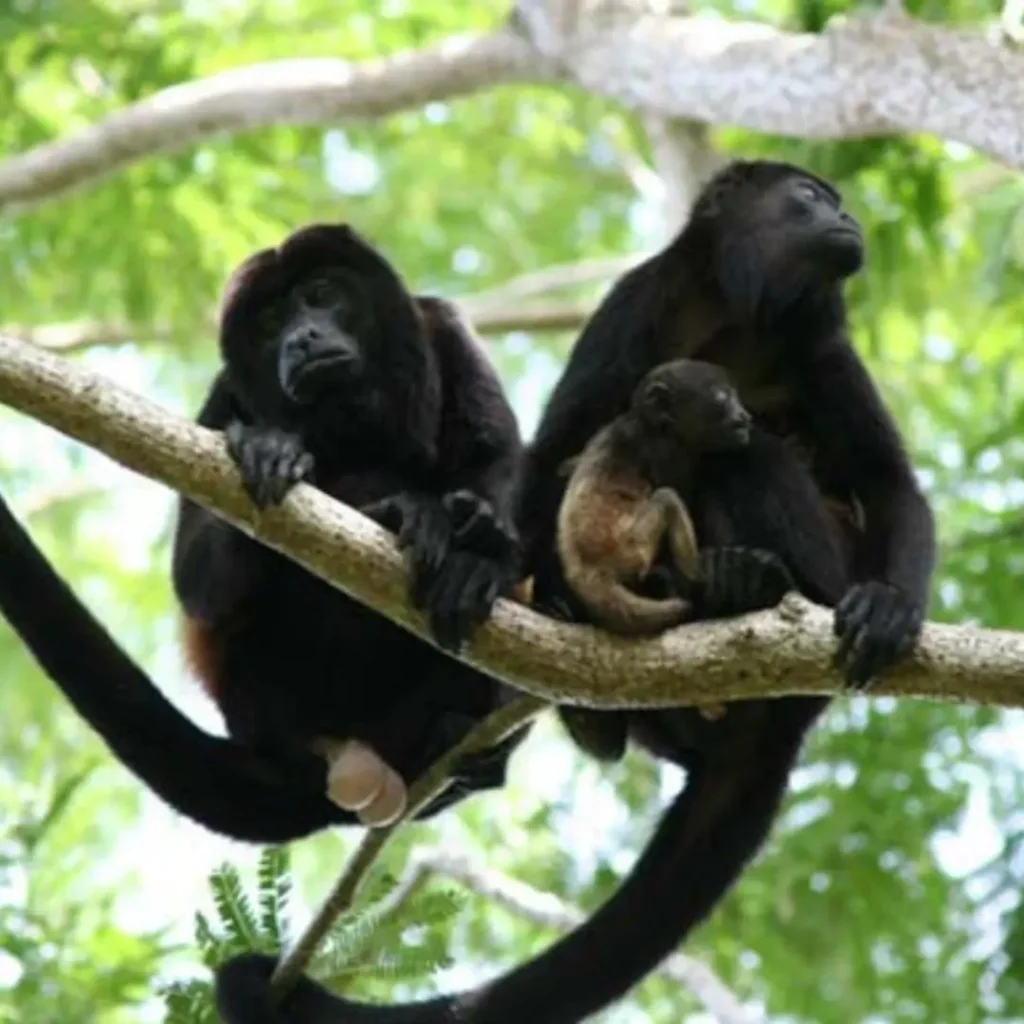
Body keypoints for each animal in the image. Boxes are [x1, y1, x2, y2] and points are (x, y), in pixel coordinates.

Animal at [0, 228, 528, 843]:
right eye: (272, 324)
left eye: (321, 295)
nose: (300, 339)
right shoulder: (221, 401)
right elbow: (196, 582)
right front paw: (269, 449)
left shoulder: (448, 331)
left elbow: (502, 478)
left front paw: (478, 554)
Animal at [216, 163, 937, 1019]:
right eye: (809, 197)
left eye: (831, 199)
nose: (846, 216)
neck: (738, 309)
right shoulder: (638, 302)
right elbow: (556, 450)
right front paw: (489, 567)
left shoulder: (824, 344)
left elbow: (887, 484)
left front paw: (892, 606)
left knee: (752, 456)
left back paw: (757, 585)